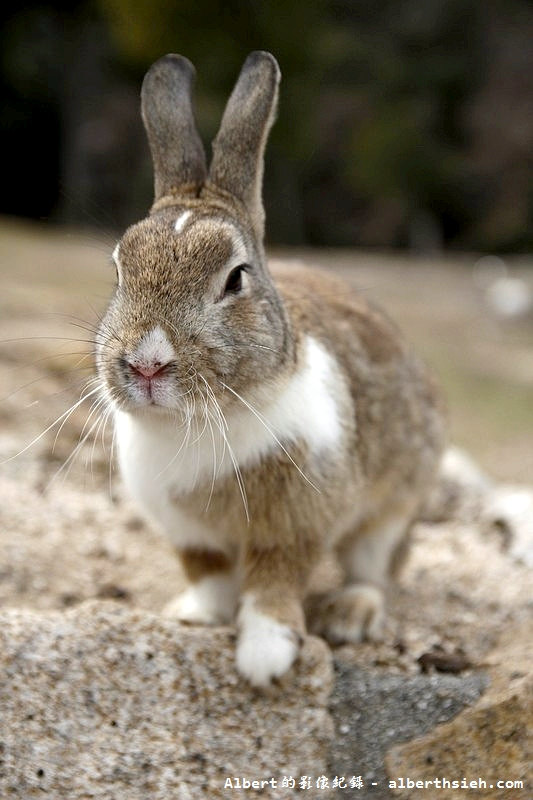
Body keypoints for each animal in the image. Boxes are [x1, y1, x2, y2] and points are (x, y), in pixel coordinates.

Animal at [95, 51, 444, 688]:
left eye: (236, 278)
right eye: (118, 270)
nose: (148, 364)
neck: (196, 419)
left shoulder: (294, 522)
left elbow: (272, 584)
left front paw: (265, 657)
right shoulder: (189, 535)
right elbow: (208, 576)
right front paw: (194, 617)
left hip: (394, 504)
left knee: (376, 566)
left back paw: (350, 614)